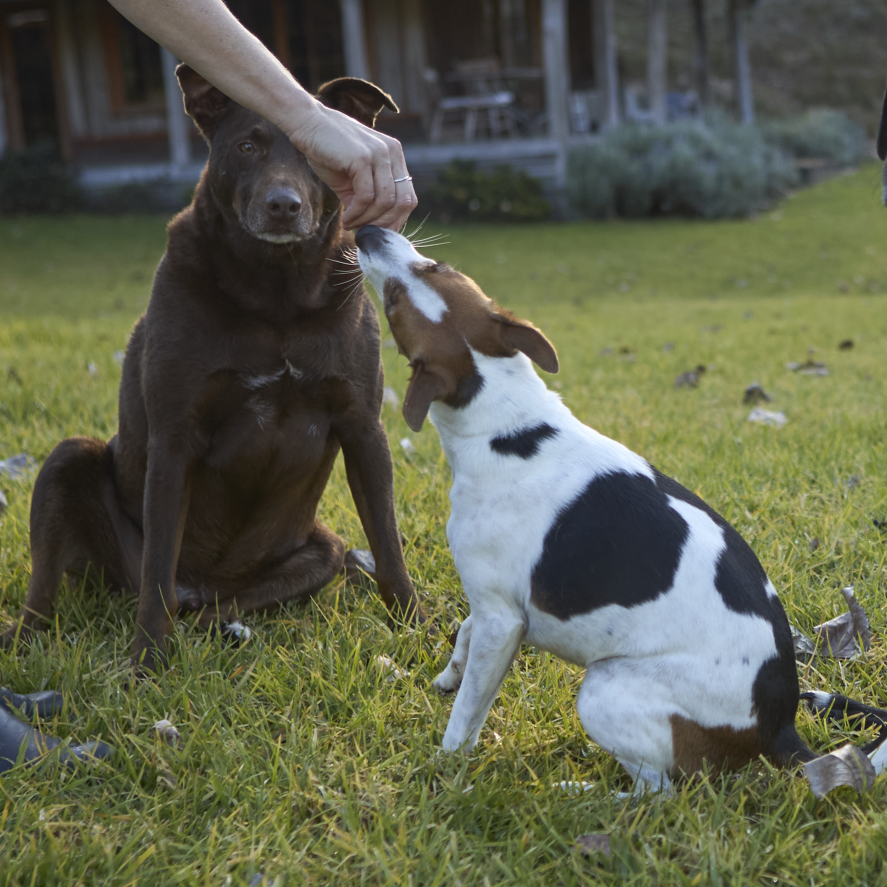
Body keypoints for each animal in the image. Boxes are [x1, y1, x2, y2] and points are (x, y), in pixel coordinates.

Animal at [0, 66, 424, 676]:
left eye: (314, 158)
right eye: (247, 146)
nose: (282, 205)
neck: (276, 294)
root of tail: (203, 586)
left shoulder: (363, 428)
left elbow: (388, 544)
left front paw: (419, 630)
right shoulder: (174, 439)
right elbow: (157, 569)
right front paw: (147, 664)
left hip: (319, 552)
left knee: (216, 612)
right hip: (68, 461)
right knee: (55, 593)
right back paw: (25, 636)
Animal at [356, 225, 887, 796]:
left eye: (395, 300)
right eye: (437, 267)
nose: (366, 231)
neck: (511, 424)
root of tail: (780, 728)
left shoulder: (503, 620)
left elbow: (467, 713)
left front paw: (445, 765)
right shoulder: (489, 604)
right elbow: (463, 634)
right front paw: (446, 678)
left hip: (603, 688)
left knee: (659, 792)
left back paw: (578, 794)